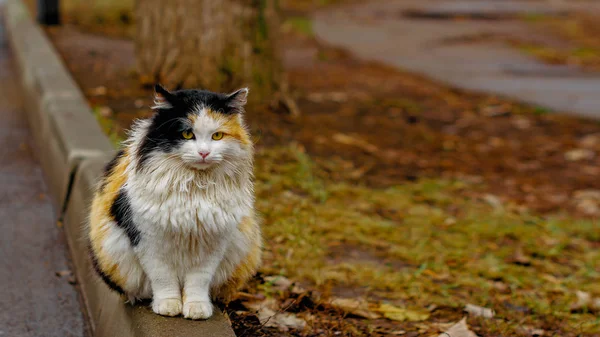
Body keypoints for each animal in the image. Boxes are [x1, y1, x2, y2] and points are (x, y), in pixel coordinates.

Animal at [87, 83, 262, 318]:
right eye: (187, 134)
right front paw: (169, 306)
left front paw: (196, 308)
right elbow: (163, 278)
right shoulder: (149, 240)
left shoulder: (214, 243)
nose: (204, 153)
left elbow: (198, 281)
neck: (195, 187)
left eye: (217, 136)